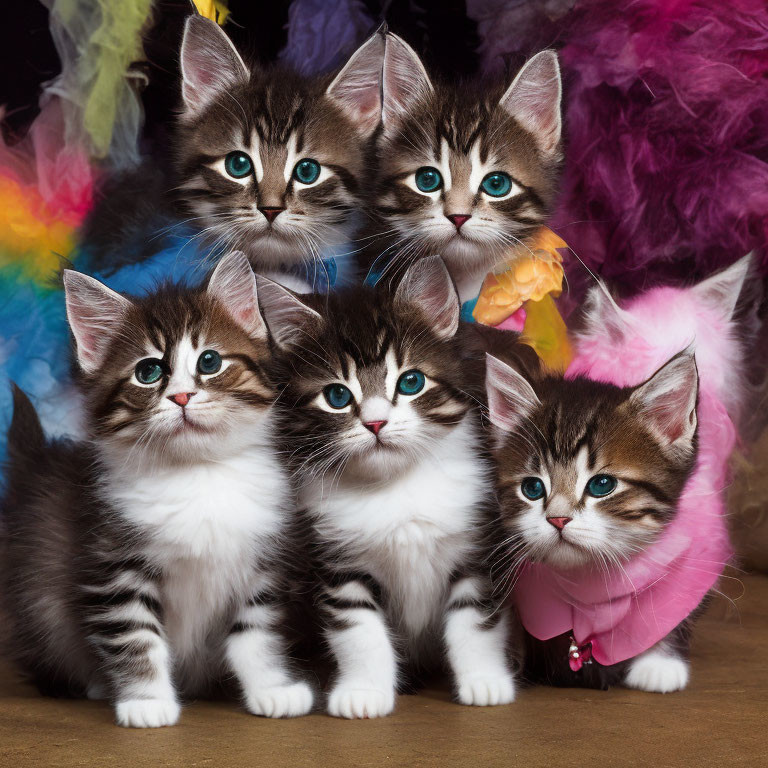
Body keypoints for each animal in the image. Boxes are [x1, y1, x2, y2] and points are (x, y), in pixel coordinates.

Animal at [0, 254, 312, 728]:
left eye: (210, 361)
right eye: (148, 372)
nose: (182, 396)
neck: (199, 475)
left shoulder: (264, 563)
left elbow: (257, 634)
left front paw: (272, 690)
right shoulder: (112, 562)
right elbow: (135, 635)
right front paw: (146, 701)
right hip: (40, 599)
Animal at [260, 258, 520, 720]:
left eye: (411, 382)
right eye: (337, 395)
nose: (376, 422)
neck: (395, 488)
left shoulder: (478, 548)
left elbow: (475, 624)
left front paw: (485, 682)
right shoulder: (339, 563)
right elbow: (359, 632)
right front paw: (363, 692)